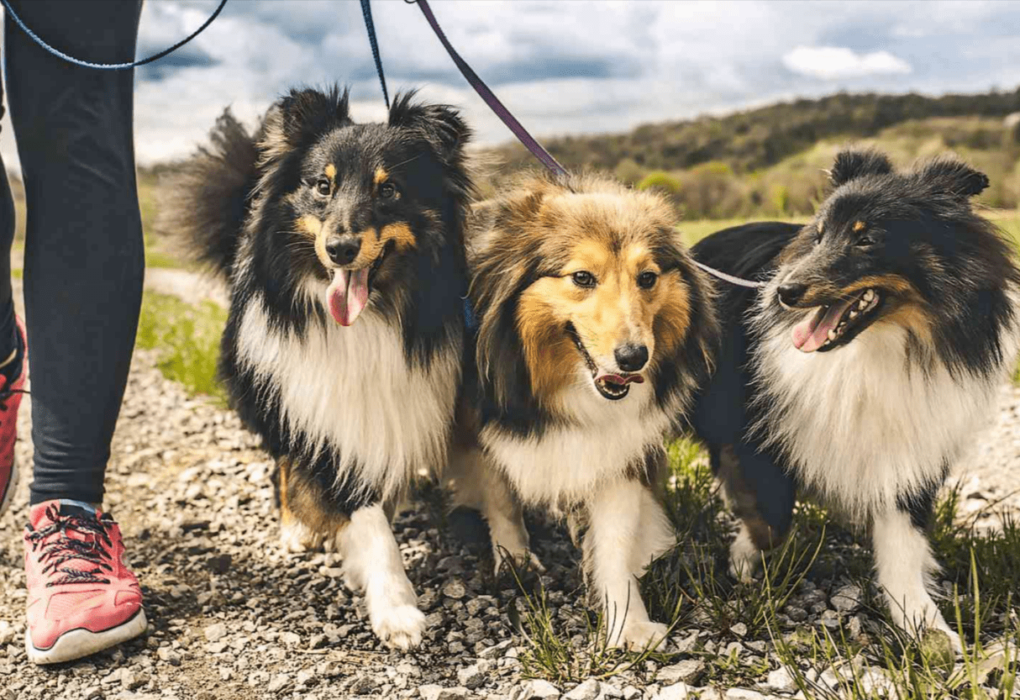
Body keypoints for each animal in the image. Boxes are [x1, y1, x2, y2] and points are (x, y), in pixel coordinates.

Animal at [164, 87, 473, 653]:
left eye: (389, 188)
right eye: (323, 186)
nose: (340, 250)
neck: (368, 318)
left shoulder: (395, 407)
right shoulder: (316, 411)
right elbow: (365, 517)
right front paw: (395, 608)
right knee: (284, 462)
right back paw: (296, 528)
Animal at [450, 171, 722, 653]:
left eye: (648, 277)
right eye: (582, 277)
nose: (634, 358)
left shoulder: (618, 449)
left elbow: (615, 541)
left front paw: (628, 623)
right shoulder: (483, 423)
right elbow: (500, 496)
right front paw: (514, 560)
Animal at [689, 148, 1015, 653]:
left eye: (868, 240)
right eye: (820, 234)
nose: (784, 293)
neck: (876, 347)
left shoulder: (912, 447)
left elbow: (903, 542)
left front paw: (926, 626)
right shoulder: (753, 430)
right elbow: (771, 517)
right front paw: (745, 562)